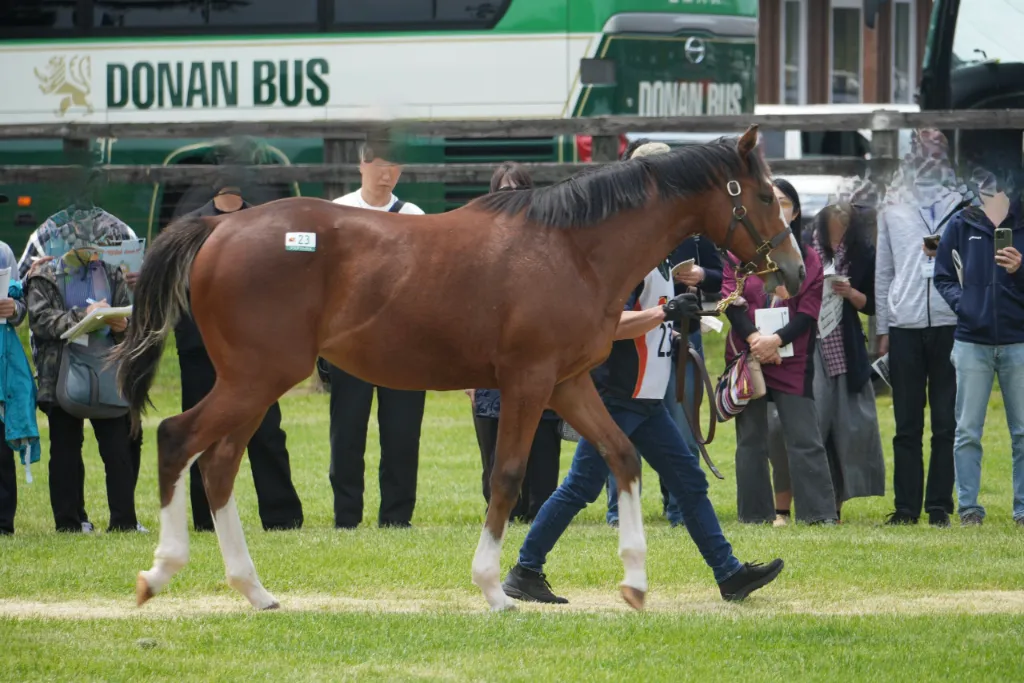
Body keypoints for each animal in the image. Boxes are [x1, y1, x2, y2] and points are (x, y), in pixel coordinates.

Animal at [113, 124, 804, 612]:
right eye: (762, 195)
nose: (794, 270)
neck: (573, 249)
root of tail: (217, 227)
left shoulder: (567, 383)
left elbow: (623, 457)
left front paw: (635, 584)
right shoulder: (527, 381)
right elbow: (507, 475)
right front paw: (495, 589)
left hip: (254, 384)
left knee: (219, 465)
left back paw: (254, 590)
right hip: (255, 378)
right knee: (177, 439)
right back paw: (158, 573)